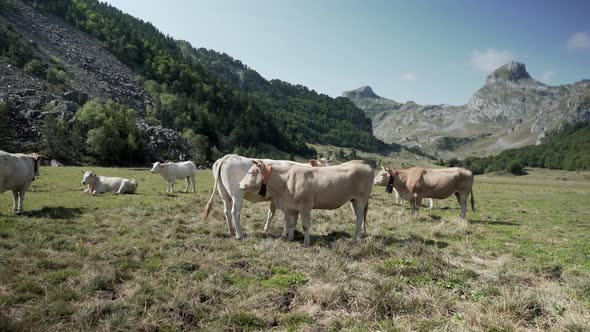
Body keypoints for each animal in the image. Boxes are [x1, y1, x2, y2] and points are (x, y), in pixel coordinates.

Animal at [238, 160, 372, 248]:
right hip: (353, 200)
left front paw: (306, 243)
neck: (285, 182)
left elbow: (305, 226)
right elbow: (291, 225)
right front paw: (290, 239)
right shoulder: (292, 207)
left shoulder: (305, 207)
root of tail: (362, 162)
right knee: (357, 217)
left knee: (360, 218)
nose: (239, 184)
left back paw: (355, 239)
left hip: (361, 199)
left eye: (251, 172)